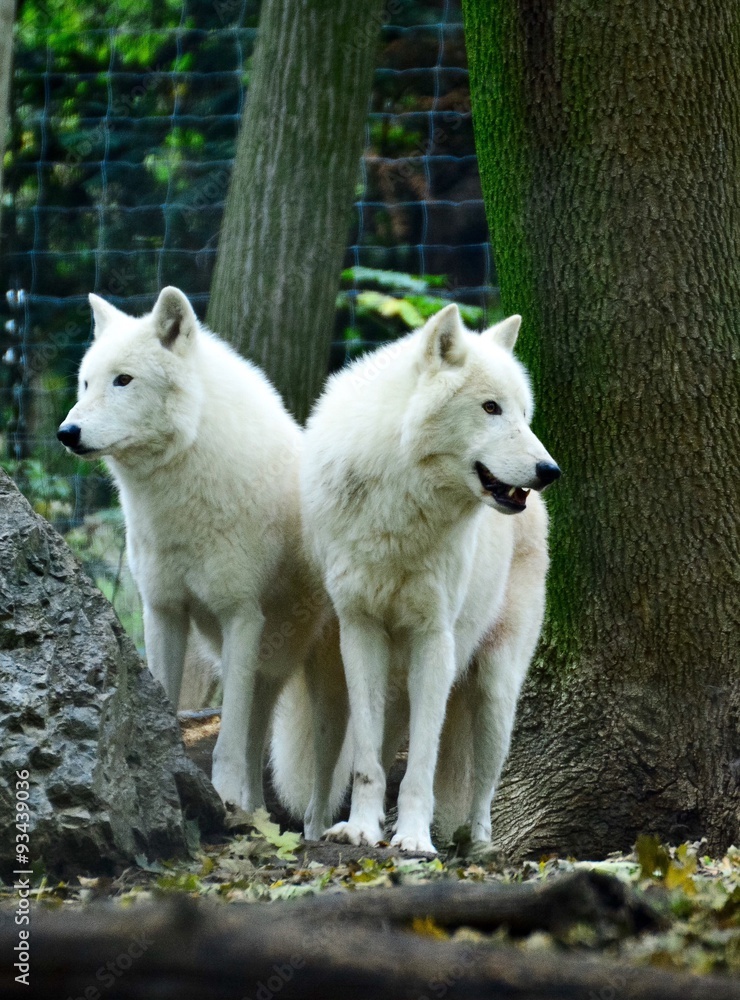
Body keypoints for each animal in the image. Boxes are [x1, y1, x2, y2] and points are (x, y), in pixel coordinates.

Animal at [57, 287, 348, 828]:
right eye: (86, 382)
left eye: (123, 380)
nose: (68, 431)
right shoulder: (163, 611)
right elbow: (166, 705)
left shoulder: (240, 616)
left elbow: (226, 743)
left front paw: (223, 797)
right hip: (269, 668)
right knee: (259, 743)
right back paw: (256, 815)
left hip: (326, 685)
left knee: (322, 773)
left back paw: (313, 828)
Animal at [300, 304, 560, 853]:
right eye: (490, 408)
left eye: (523, 414)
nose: (550, 470)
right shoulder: (360, 630)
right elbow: (367, 762)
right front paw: (361, 827)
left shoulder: (436, 637)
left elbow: (422, 762)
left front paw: (415, 838)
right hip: (355, 688)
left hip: (495, 688)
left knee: (483, 787)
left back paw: (478, 843)